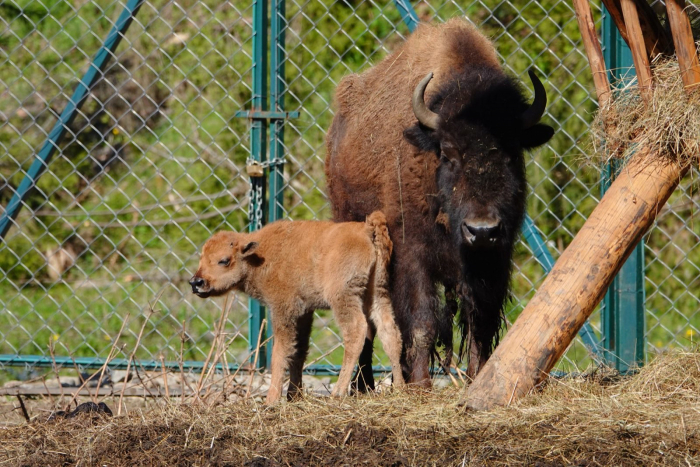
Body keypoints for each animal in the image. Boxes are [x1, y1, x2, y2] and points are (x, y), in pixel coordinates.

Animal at [189, 212, 404, 406]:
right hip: (377, 292)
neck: (260, 255)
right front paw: (294, 395)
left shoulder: (283, 309)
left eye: (224, 260)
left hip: (343, 297)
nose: (196, 282)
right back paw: (400, 388)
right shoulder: (304, 312)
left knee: (356, 331)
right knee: (389, 332)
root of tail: (366, 229)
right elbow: (298, 351)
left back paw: (337, 393)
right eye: (201, 258)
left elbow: (280, 352)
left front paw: (272, 400)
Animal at [326, 19, 556, 392]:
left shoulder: (494, 258)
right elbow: (422, 322)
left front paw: (477, 377)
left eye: (512, 152)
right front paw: (421, 386)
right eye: (448, 154)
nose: (481, 229)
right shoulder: (411, 254)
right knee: (367, 321)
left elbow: (480, 323)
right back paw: (364, 385)